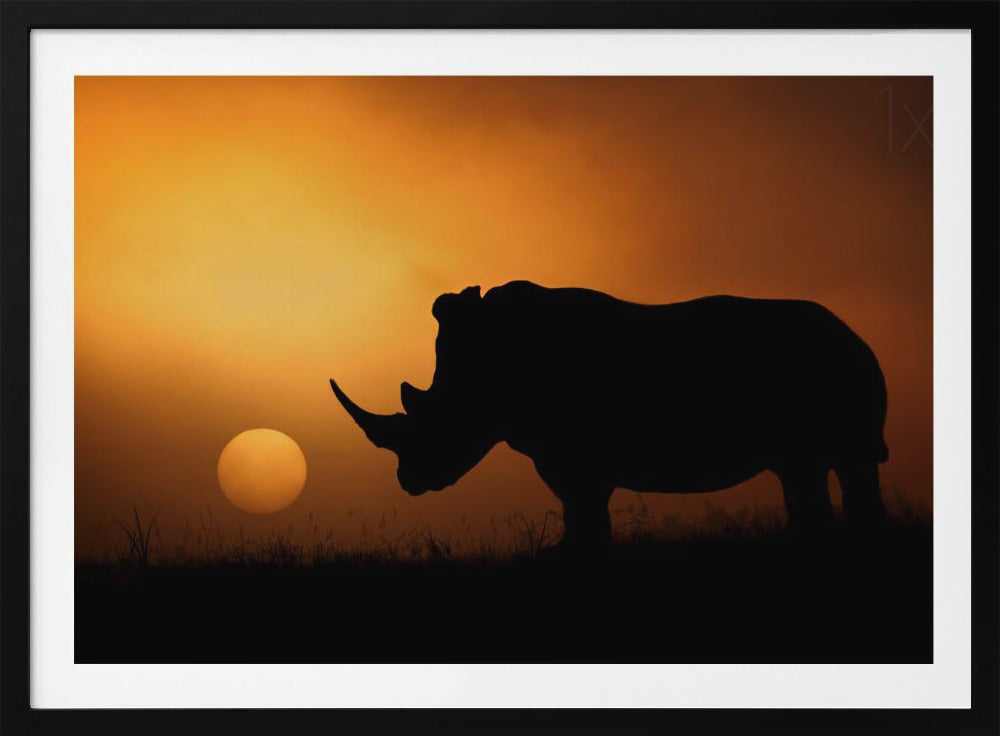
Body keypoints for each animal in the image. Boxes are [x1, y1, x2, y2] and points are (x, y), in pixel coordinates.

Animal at [330, 280, 888, 552]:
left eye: (434, 423)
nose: (408, 482)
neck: (483, 375)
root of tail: (855, 333)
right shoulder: (562, 451)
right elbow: (579, 505)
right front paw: (568, 551)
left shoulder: (571, 451)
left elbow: (582, 503)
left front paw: (569, 555)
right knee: (811, 469)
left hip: (834, 365)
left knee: (837, 463)